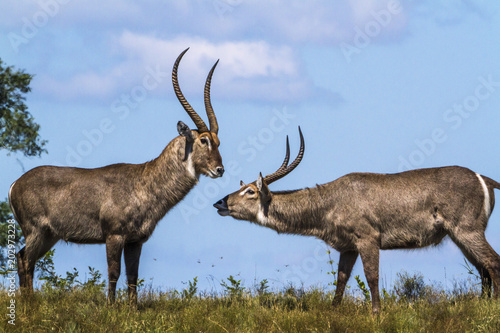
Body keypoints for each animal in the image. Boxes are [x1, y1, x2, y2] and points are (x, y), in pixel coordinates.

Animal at [9, 48, 225, 304]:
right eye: (203, 140)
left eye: (218, 141)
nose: (219, 169)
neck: (144, 181)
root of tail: (15, 184)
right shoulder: (114, 235)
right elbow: (114, 272)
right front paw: (111, 306)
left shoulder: (135, 240)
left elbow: (133, 275)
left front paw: (132, 308)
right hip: (35, 231)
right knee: (24, 260)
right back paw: (27, 302)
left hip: (49, 235)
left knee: (24, 259)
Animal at [214, 127, 500, 312]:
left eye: (250, 191)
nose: (221, 202)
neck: (329, 203)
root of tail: (484, 178)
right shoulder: (347, 247)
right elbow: (341, 279)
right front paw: (333, 311)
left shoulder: (368, 238)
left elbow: (371, 276)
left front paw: (376, 314)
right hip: (459, 235)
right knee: (482, 269)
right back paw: (482, 303)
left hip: (467, 229)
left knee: (492, 262)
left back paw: (493, 305)